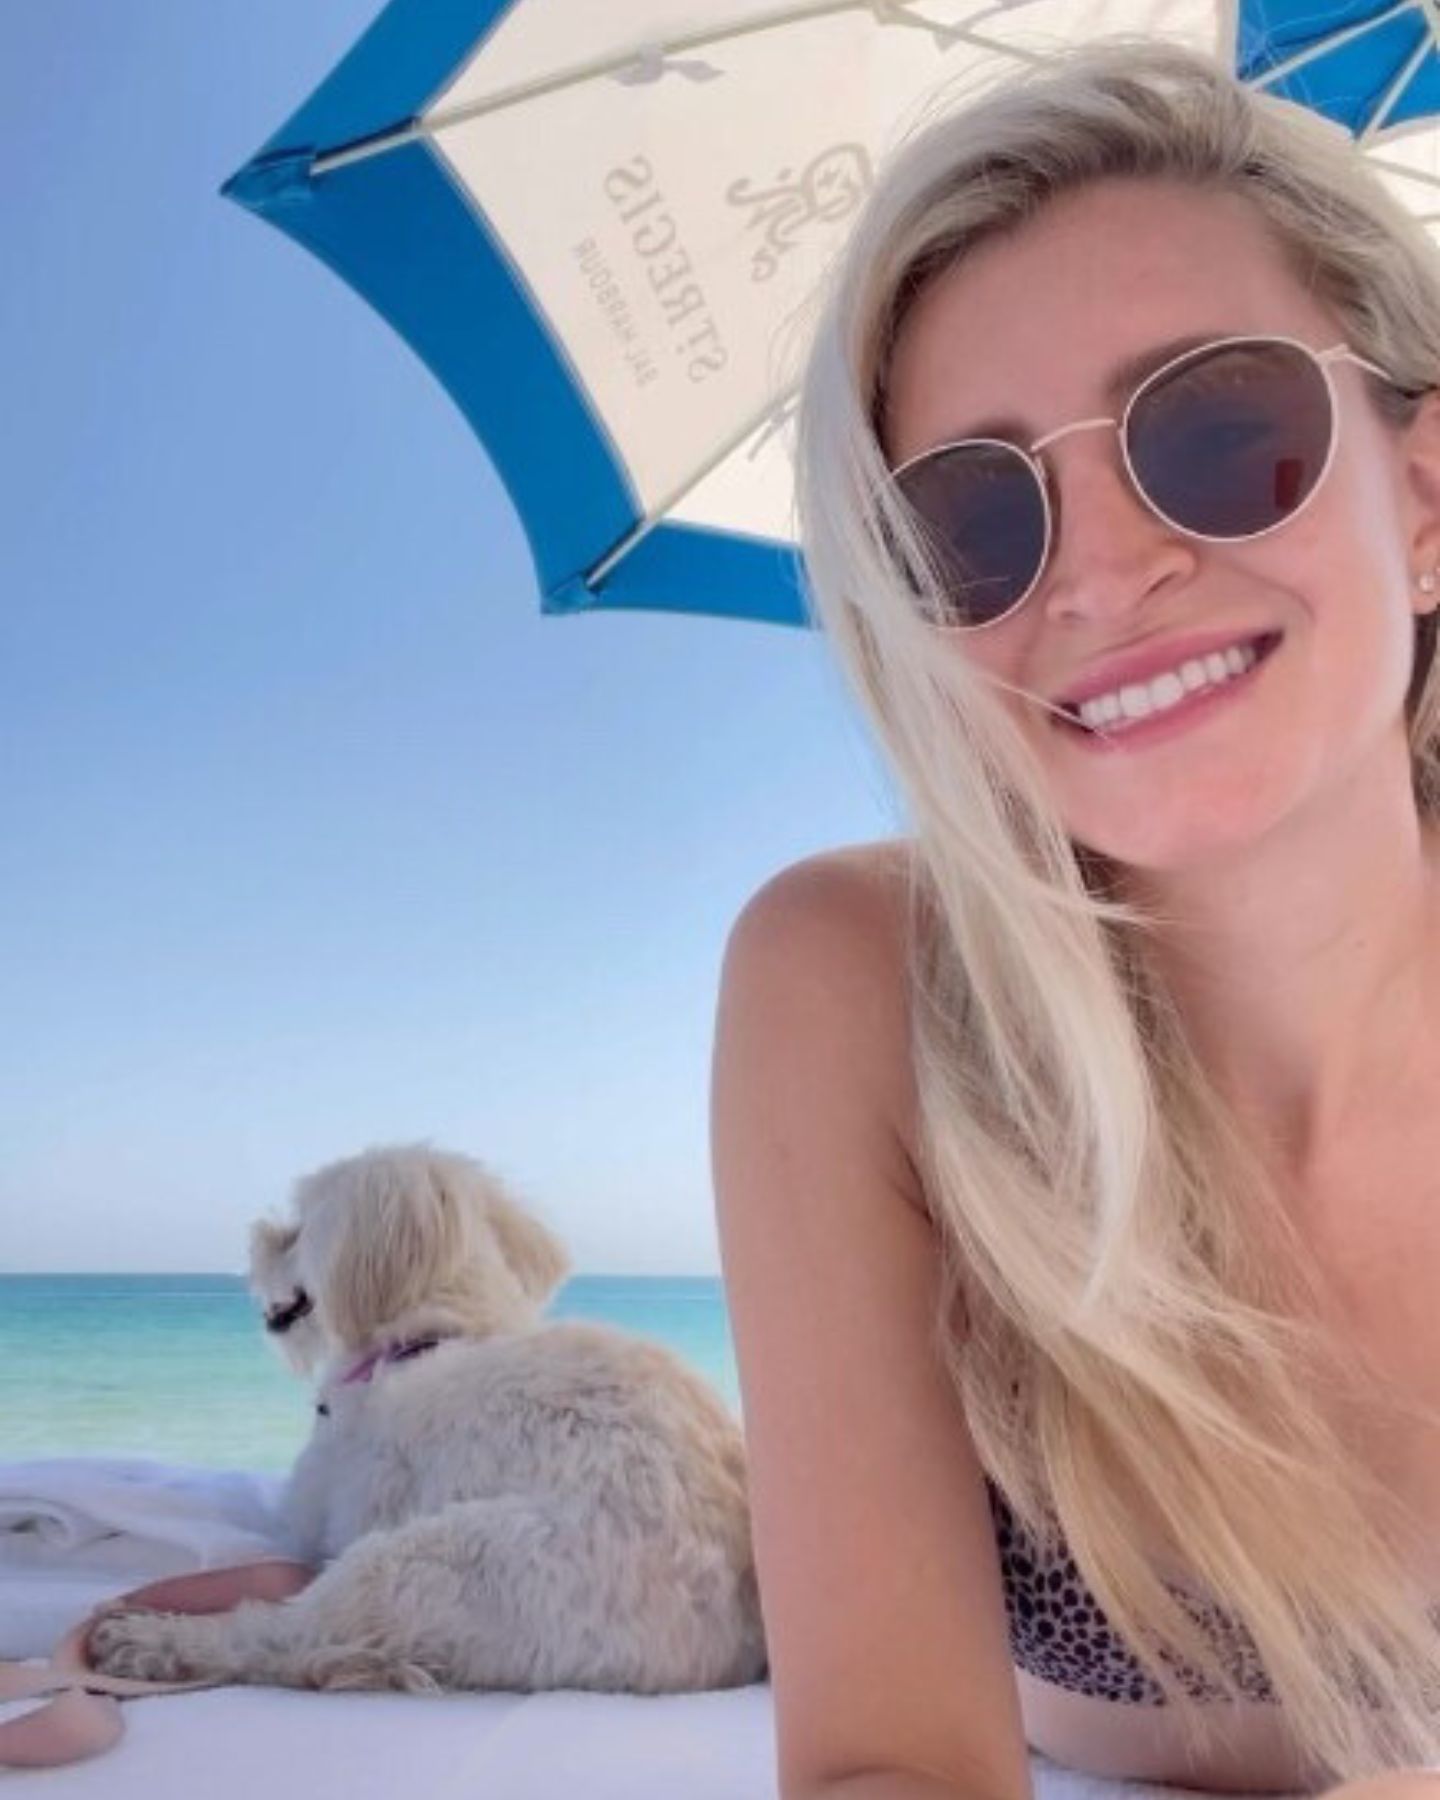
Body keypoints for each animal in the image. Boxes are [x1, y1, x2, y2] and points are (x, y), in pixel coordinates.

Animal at [87, 1144, 763, 1692]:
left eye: (299, 1229)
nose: (257, 1238)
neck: (429, 1335)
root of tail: (724, 1649)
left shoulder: (321, 1511)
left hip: (425, 1562)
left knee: (279, 1634)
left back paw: (157, 1641)